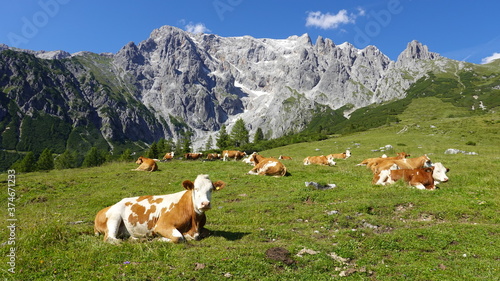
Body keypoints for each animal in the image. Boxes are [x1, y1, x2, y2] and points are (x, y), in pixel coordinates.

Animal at [93, 174, 225, 242]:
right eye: (195, 189)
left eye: (211, 189)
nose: (205, 204)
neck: (194, 222)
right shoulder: (162, 225)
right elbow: (179, 238)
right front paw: (158, 238)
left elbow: (206, 232)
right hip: (114, 217)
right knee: (110, 238)